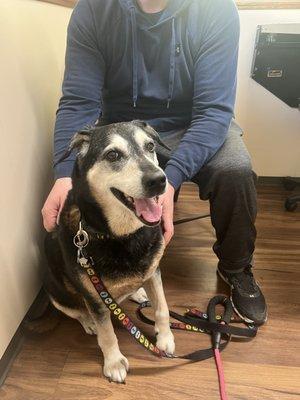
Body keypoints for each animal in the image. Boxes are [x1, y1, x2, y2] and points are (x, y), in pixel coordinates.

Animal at [44, 120, 176, 382]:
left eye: (150, 146)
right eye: (113, 155)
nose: (159, 180)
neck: (120, 234)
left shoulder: (154, 270)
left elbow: (162, 309)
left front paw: (165, 338)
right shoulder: (95, 296)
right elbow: (107, 334)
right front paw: (114, 363)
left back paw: (138, 293)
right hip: (56, 294)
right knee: (77, 311)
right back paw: (89, 323)